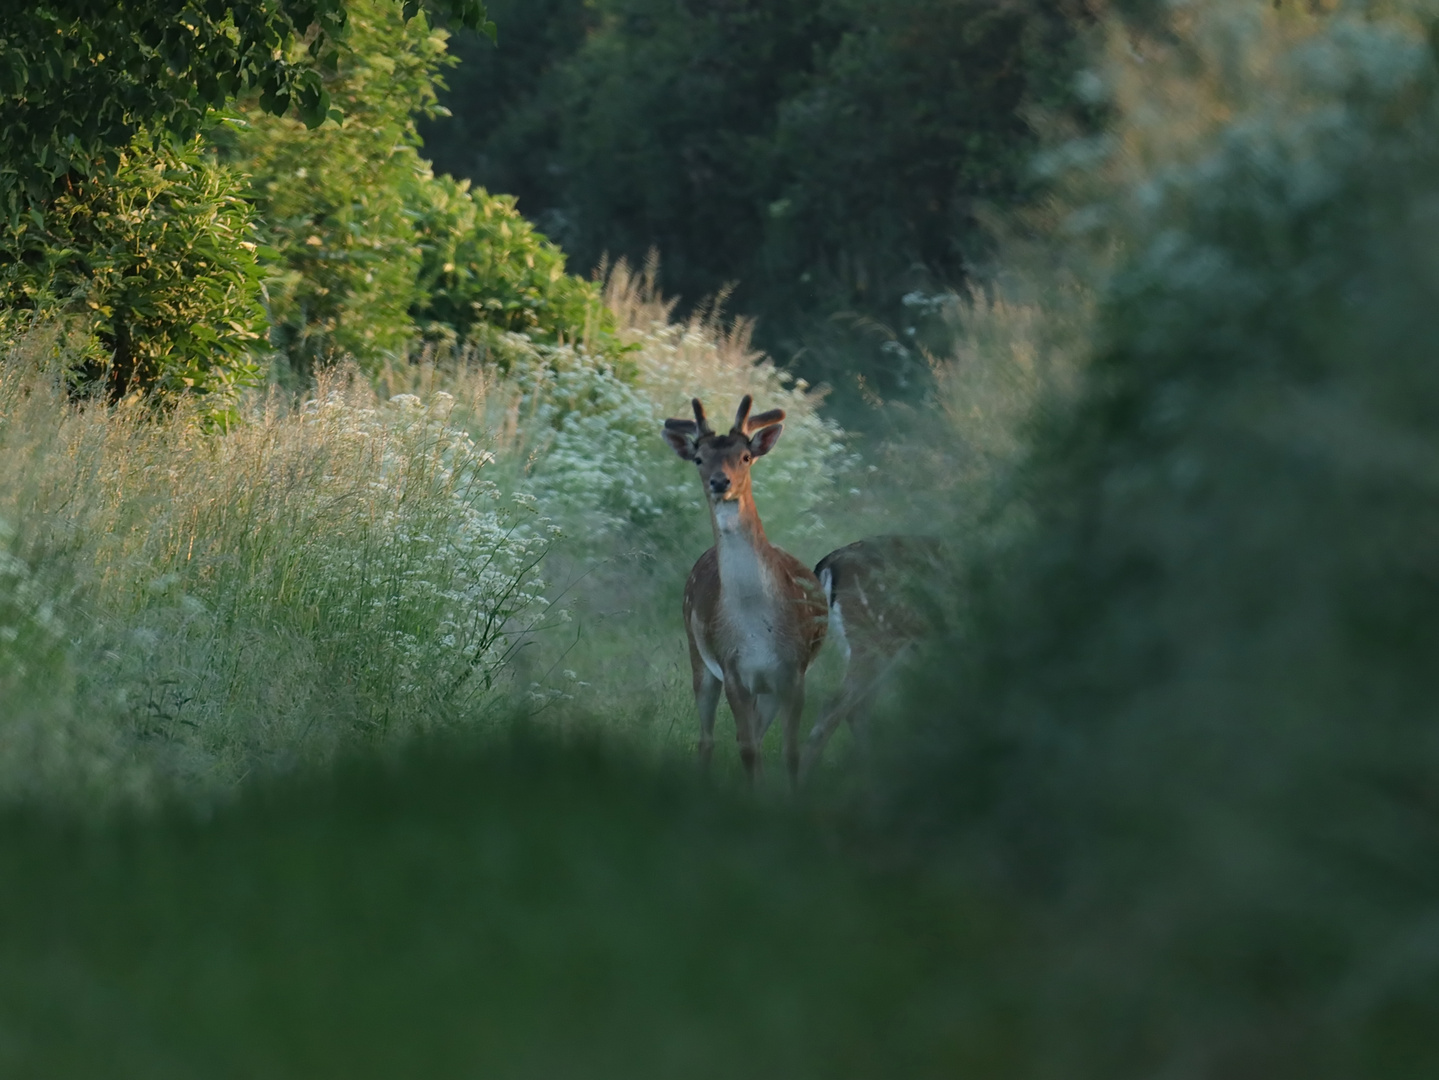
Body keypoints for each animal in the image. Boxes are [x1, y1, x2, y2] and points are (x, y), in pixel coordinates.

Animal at [664, 394, 834, 788]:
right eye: (699, 458)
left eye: (744, 456)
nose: (719, 481)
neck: (757, 629)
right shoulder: (732, 668)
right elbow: (747, 749)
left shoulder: (793, 671)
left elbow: (790, 752)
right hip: (698, 654)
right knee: (708, 738)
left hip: (766, 688)